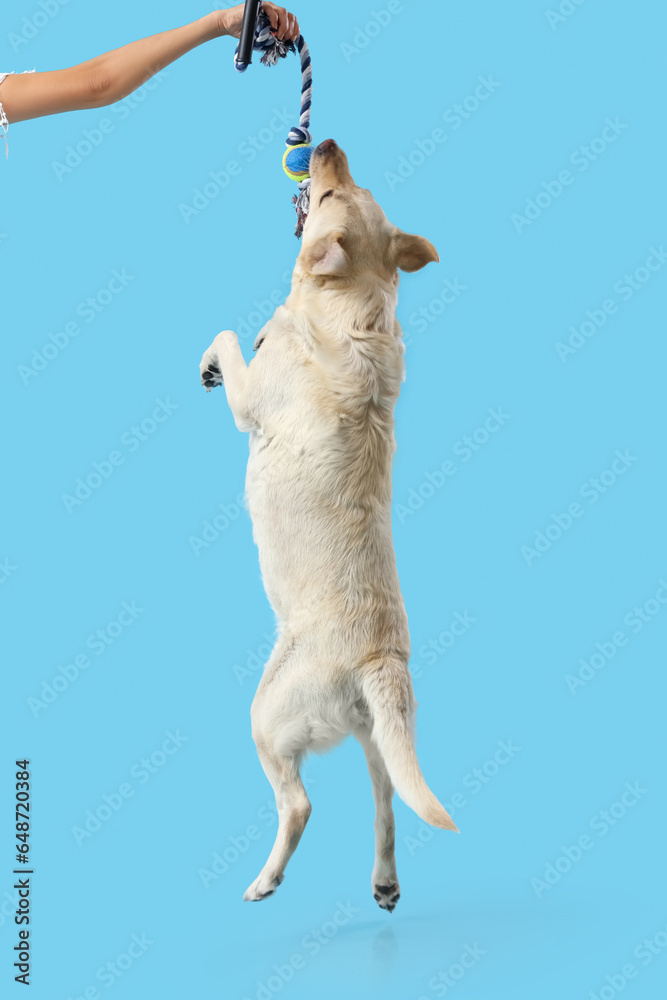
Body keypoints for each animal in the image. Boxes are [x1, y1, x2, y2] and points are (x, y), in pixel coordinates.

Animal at [201, 141, 456, 916]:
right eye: (352, 183)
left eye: (331, 194)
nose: (324, 144)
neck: (357, 307)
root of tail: (381, 661)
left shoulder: (250, 399)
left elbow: (234, 338)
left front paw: (221, 354)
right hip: (371, 732)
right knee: (385, 797)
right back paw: (384, 880)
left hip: (267, 714)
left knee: (301, 805)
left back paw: (265, 880)